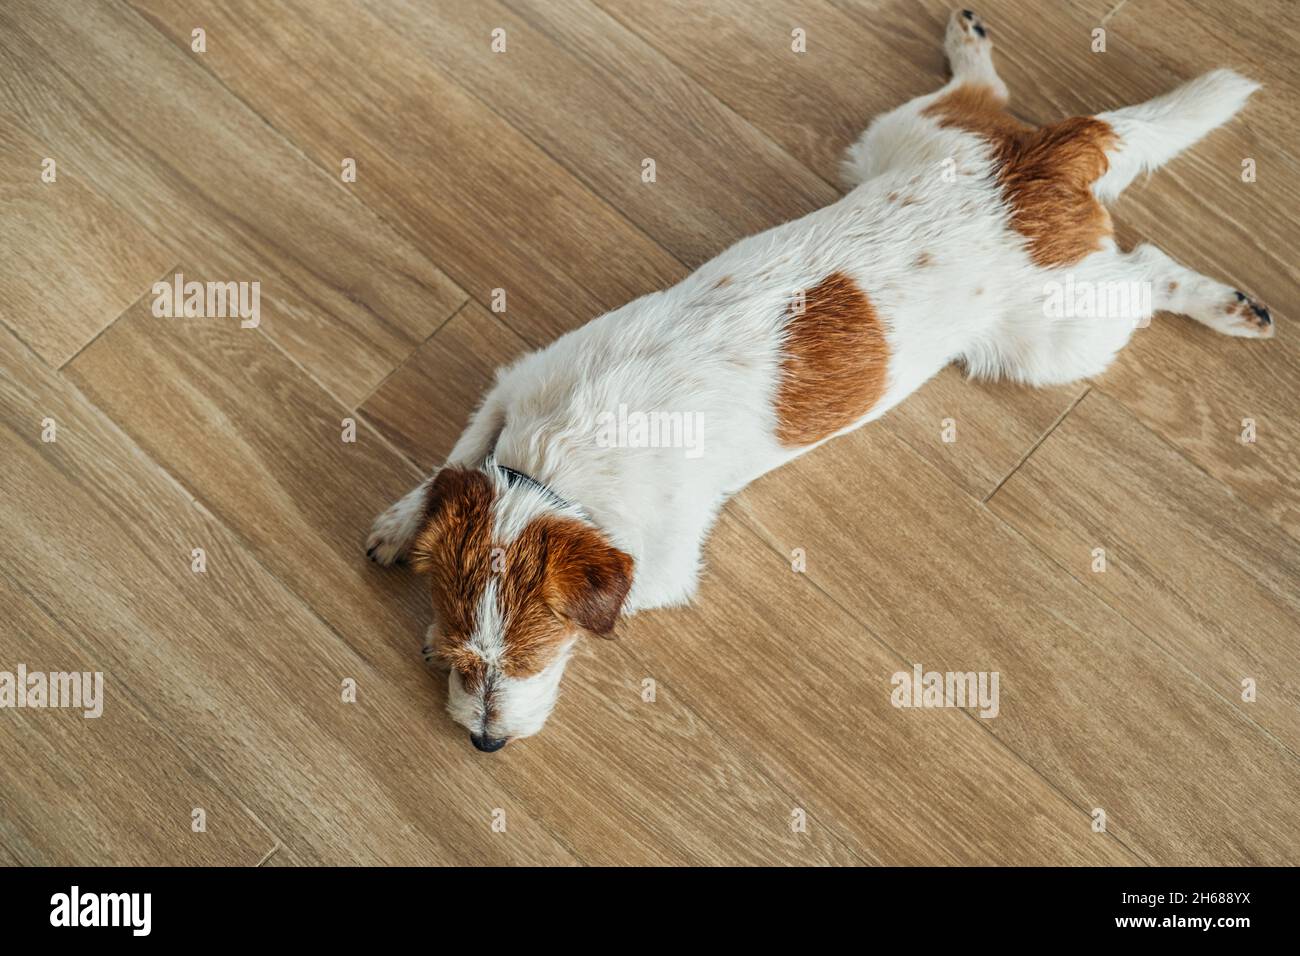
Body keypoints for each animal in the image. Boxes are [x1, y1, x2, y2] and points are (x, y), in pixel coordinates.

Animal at [366, 11, 1268, 749]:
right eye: (468, 659)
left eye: (527, 659)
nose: (485, 743)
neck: (558, 462)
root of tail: (1035, 164)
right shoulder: (517, 383)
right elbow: (455, 456)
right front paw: (405, 522)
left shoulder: (661, 562)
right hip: (901, 139)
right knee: (976, 97)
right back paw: (970, 45)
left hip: (1055, 337)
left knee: (1147, 271)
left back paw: (1226, 305)